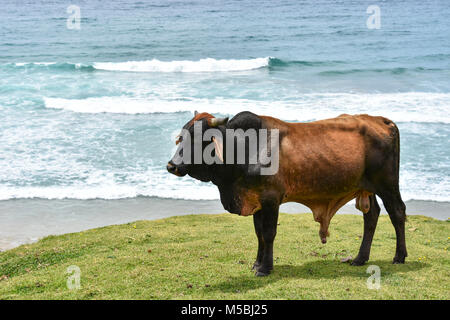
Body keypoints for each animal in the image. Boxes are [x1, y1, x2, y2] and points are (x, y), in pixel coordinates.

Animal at [168, 111, 408, 276]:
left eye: (198, 139)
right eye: (181, 137)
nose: (172, 165)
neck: (244, 148)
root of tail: (382, 120)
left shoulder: (271, 199)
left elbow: (268, 233)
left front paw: (265, 268)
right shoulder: (256, 200)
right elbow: (258, 233)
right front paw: (257, 263)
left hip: (387, 184)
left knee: (397, 212)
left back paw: (399, 256)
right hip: (367, 187)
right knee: (372, 215)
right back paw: (360, 258)